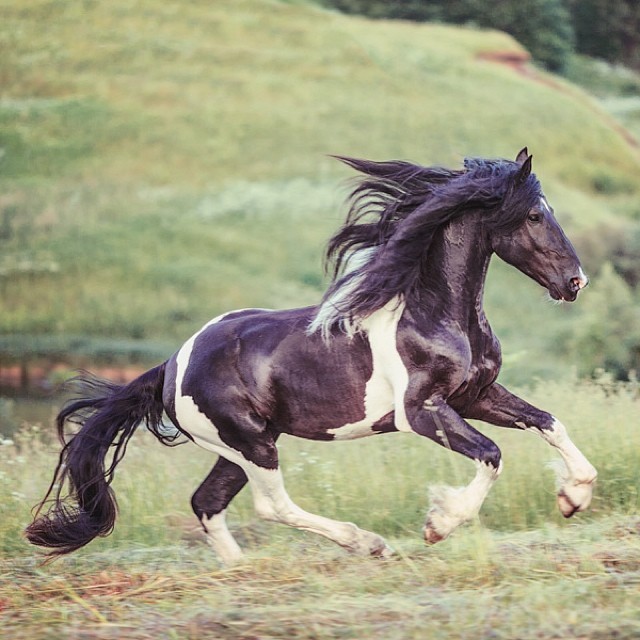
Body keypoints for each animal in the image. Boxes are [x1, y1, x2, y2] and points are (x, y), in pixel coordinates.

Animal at [23, 148, 596, 564]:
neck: (432, 314)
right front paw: (439, 525)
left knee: (207, 503)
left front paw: (575, 496)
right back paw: (366, 543)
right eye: (534, 215)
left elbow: (548, 421)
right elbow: (491, 455)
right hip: (251, 443)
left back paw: (241, 571)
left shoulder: (476, 395)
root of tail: (171, 366)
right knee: (270, 504)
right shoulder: (421, 411)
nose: (576, 282)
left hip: (238, 446)